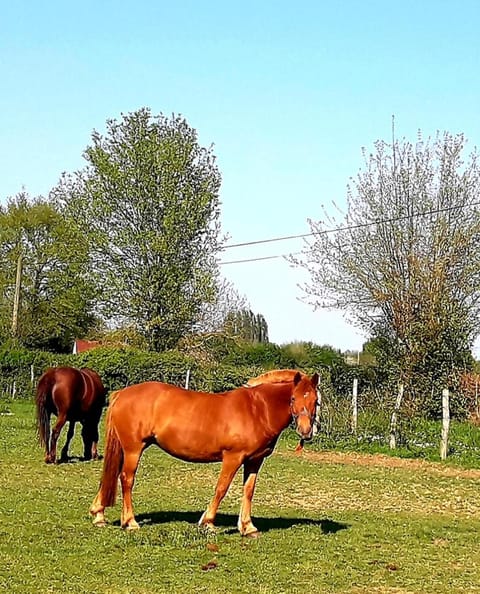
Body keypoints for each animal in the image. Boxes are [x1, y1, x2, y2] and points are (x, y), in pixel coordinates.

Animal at [89, 370, 318, 532]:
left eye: (315, 400)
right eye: (293, 398)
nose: (305, 431)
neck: (257, 409)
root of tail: (122, 393)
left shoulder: (254, 460)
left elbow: (248, 491)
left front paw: (247, 527)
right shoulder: (233, 458)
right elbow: (221, 488)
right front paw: (208, 522)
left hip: (124, 449)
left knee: (110, 476)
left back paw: (99, 514)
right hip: (133, 449)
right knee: (126, 479)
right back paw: (130, 522)